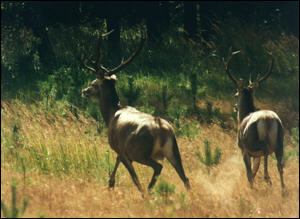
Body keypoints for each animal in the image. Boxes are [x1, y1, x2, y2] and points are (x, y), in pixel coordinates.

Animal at [81, 29, 191, 195]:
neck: (111, 114)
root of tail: (162, 129)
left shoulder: (120, 148)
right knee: (185, 178)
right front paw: (110, 183)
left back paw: (148, 192)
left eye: (94, 83)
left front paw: (114, 185)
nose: (84, 91)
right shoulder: (122, 152)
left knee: (158, 167)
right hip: (174, 151)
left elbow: (132, 175)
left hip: (139, 151)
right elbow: (118, 163)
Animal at [225, 48, 286, 195]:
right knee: (279, 165)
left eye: (235, 94)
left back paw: (268, 179)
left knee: (265, 151)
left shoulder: (244, 148)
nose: (235, 107)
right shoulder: (254, 155)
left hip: (253, 140)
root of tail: (268, 119)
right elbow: (253, 170)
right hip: (280, 139)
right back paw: (282, 190)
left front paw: (251, 188)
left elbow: (249, 172)